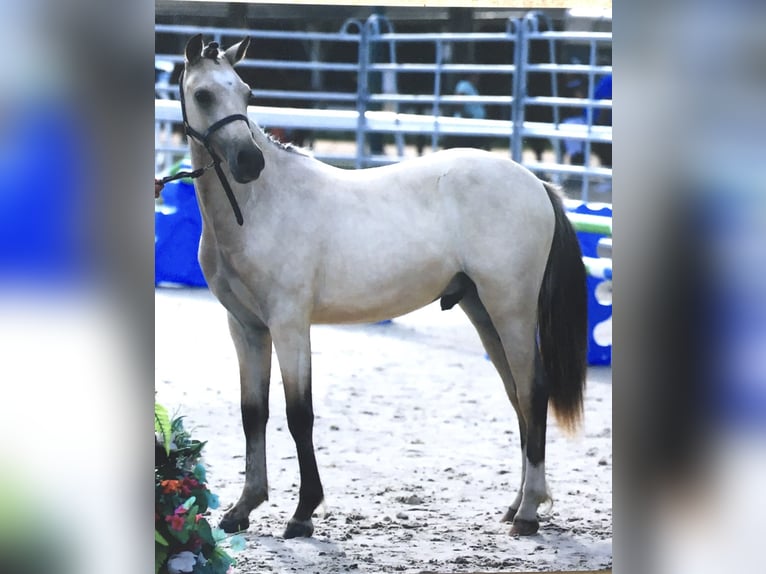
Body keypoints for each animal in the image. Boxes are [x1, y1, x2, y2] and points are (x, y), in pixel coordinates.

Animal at [177, 34, 588, 539]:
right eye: (203, 95)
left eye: (247, 93)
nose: (249, 162)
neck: (259, 205)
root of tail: (537, 183)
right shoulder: (246, 327)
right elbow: (253, 413)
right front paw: (243, 508)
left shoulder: (289, 324)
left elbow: (299, 415)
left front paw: (303, 513)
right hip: (483, 311)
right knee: (520, 400)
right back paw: (517, 506)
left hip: (510, 308)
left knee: (534, 393)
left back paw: (529, 513)